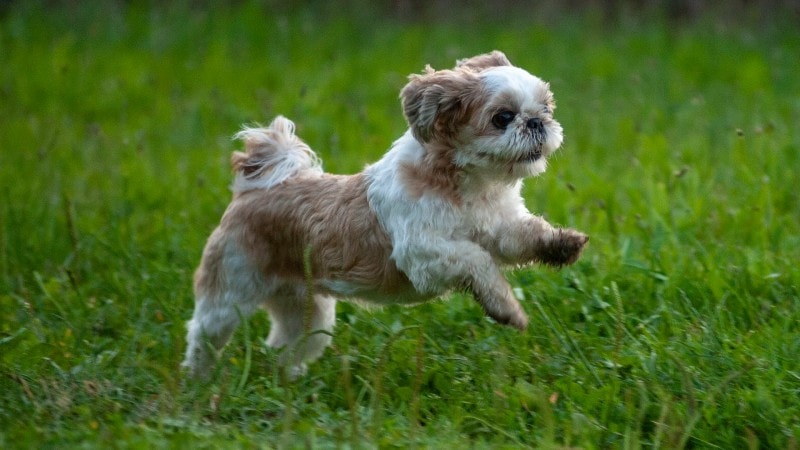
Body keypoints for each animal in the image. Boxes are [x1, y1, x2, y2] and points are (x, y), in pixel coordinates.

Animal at [184, 50, 592, 380]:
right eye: (503, 117)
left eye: (547, 108)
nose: (537, 122)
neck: (468, 186)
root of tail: (254, 189)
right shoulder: (423, 253)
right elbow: (478, 263)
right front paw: (505, 309)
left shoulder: (498, 226)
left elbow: (522, 236)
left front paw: (561, 244)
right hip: (230, 292)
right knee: (203, 334)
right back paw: (198, 382)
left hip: (307, 310)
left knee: (288, 345)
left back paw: (289, 382)